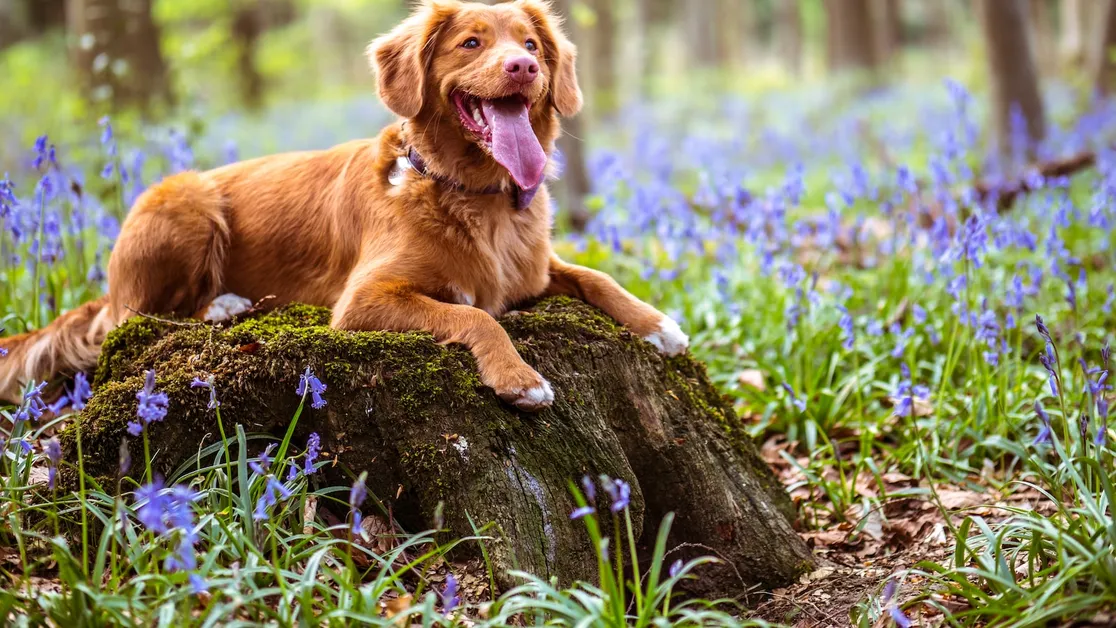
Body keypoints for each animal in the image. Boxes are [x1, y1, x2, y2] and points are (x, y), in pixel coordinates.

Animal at [0, 0, 682, 410]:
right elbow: (474, 315)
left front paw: (659, 324)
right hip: (184, 198)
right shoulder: (363, 301)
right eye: (470, 43)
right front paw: (520, 377)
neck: (474, 195)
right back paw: (222, 305)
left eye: (533, 46)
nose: (521, 67)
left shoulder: (534, 272)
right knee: (139, 318)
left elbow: (595, 275)